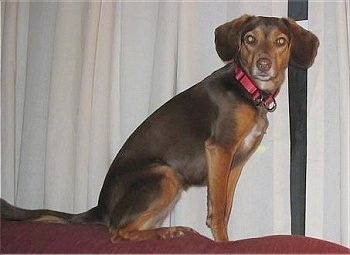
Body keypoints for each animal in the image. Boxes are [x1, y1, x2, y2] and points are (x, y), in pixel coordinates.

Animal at [0, 14, 318, 242]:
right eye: (250, 39)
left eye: (281, 41)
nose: (263, 65)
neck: (248, 89)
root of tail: (101, 208)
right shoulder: (220, 149)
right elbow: (217, 211)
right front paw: (223, 244)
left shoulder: (235, 161)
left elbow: (225, 209)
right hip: (165, 175)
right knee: (117, 233)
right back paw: (168, 232)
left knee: (126, 227)